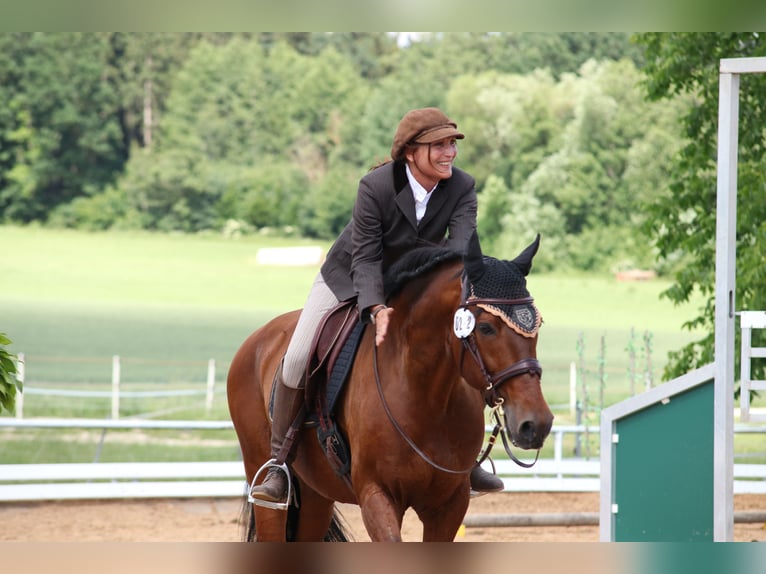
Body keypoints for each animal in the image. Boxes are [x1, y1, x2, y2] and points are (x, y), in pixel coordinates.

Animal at [225, 232, 556, 544]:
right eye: (486, 328)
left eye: (537, 327)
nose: (535, 424)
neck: (424, 395)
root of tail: (258, 338)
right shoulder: (377, 496)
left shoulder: (449, 505)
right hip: (265, 480)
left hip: (316, 493)